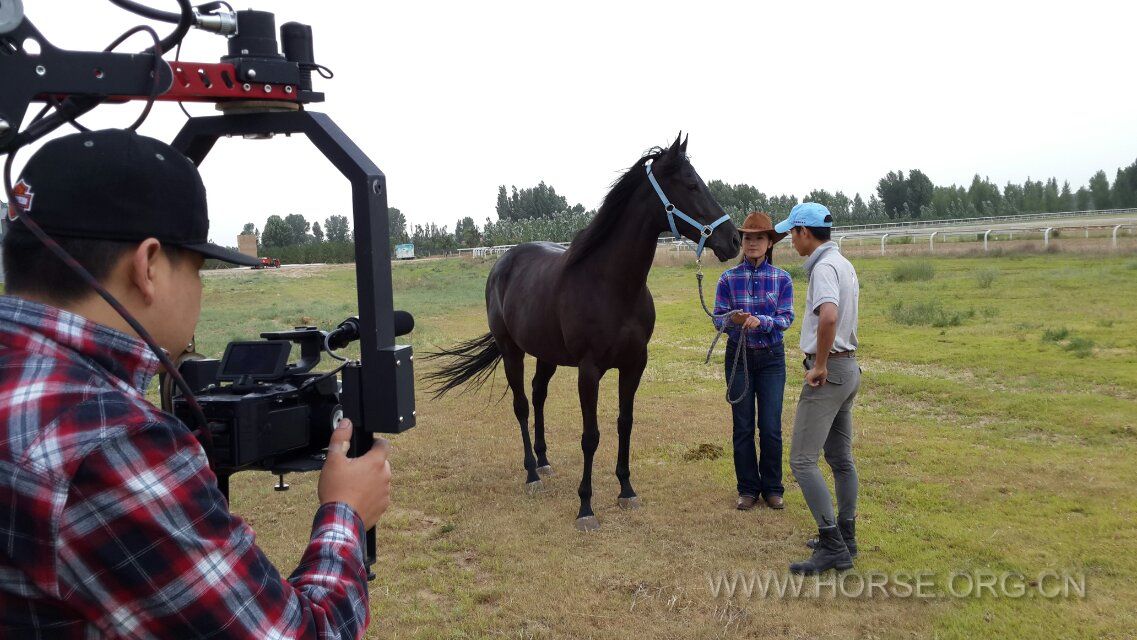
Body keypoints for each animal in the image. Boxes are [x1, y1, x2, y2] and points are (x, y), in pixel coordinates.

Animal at [427, 135, 736, 532]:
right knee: (521, 405)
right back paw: (532, 474)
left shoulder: (635, 365)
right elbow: (591, 437)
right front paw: (586, 508)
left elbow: (624, 424)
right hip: (512, 351)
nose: (735, 239)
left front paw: (626, 490)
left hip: (546, 354)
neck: (612, 285)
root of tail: (502, 262)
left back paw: (544, 460)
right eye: (691, 184)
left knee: (538, 395)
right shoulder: (589, 372)